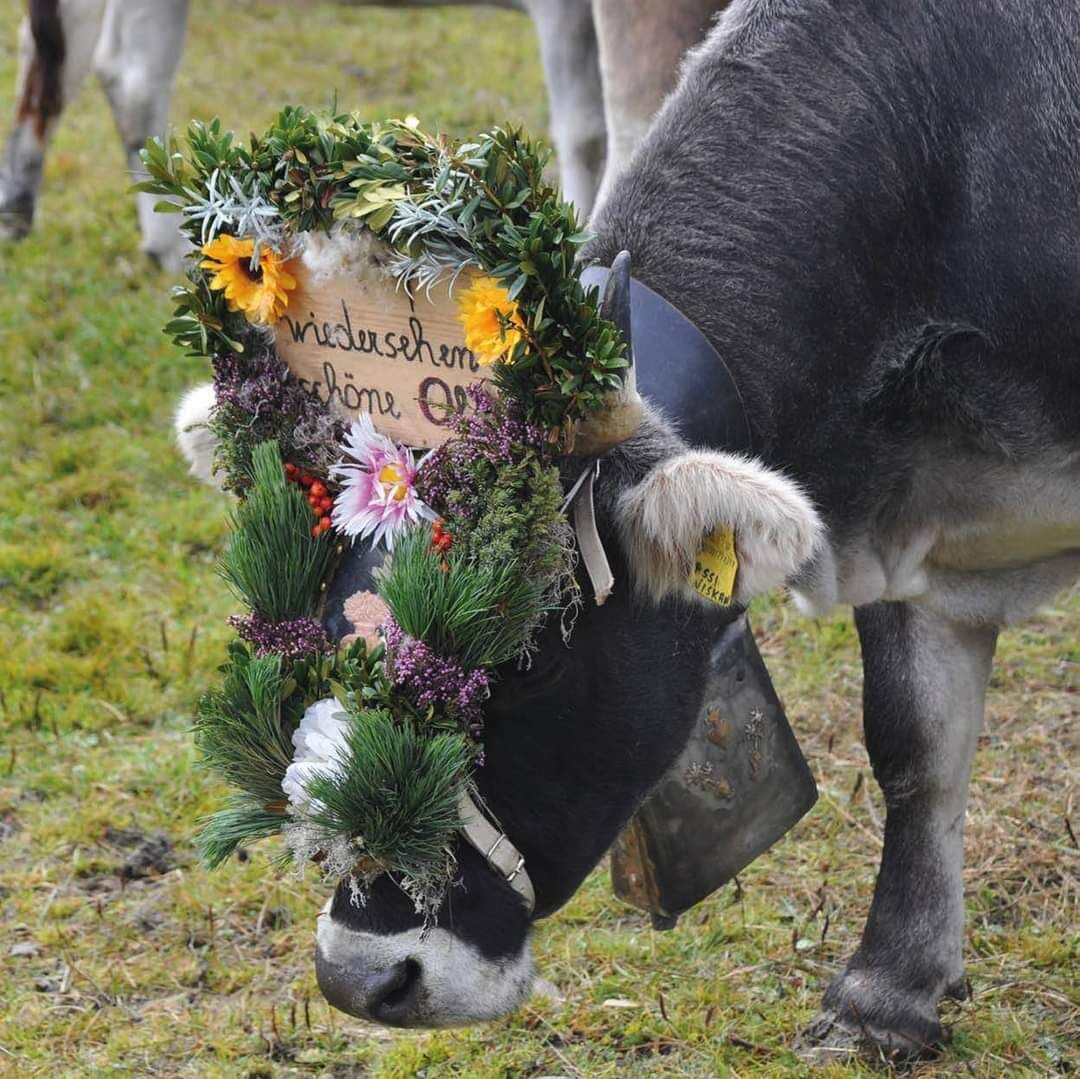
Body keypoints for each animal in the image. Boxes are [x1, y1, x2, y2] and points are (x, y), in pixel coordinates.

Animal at [175, 0, 1079, 1059]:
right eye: (316, 629)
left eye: (533, 659)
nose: (362, 976)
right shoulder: (912, 529)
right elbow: (913, 745)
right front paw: (888, 993)